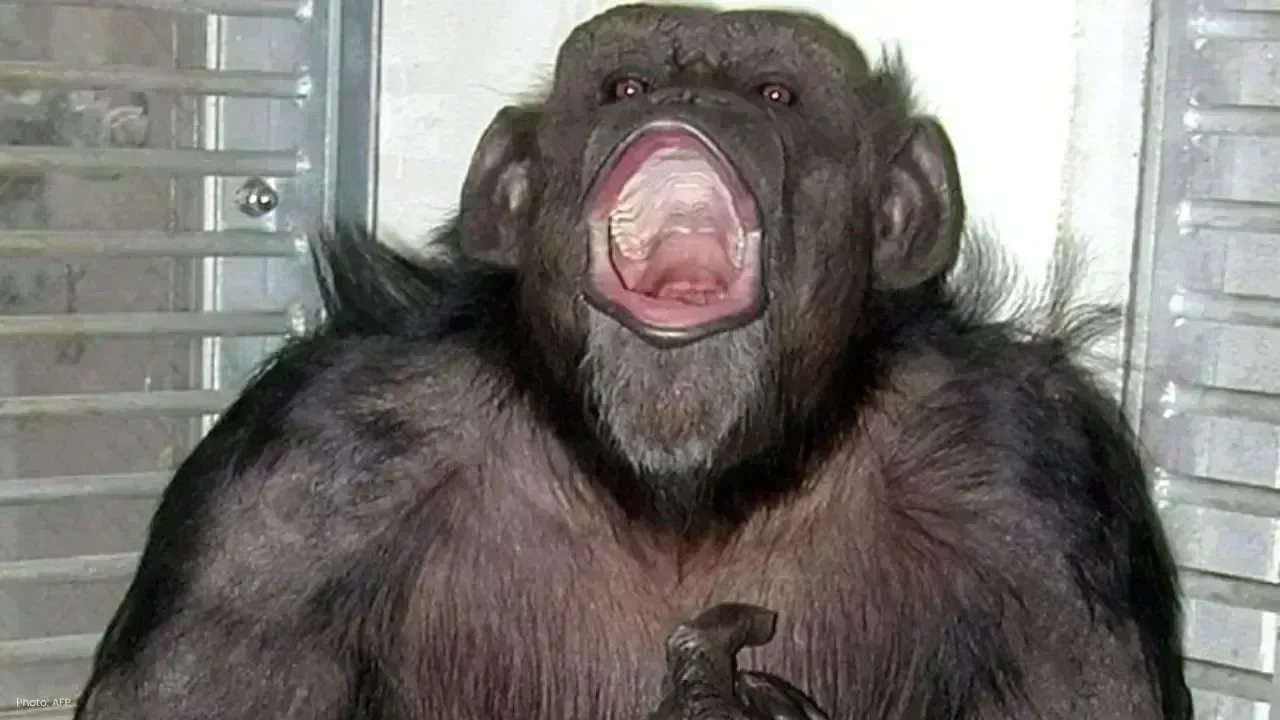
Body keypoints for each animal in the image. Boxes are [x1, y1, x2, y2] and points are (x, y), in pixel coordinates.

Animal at [73, 3, 1192, 719]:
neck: (680, 497)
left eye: (775, 92)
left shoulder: (1034, 494)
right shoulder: (291, 492)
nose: (691, 85)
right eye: (624, 83)